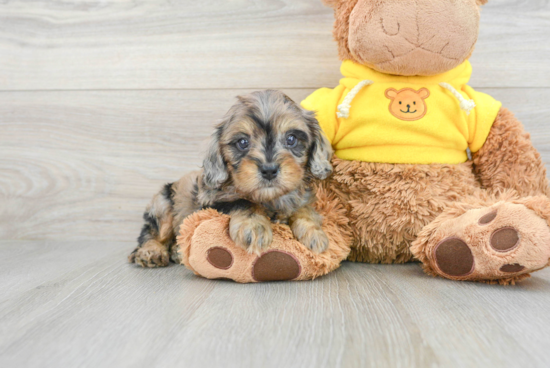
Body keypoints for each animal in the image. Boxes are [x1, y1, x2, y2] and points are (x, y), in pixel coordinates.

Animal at [129, 89, 334, 268]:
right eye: (243, 142)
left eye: (291, 139)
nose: (269, 170)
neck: (270, 199)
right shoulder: (212, 204)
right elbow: (243, 202)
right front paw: (255, 227)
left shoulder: (303, 199)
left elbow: (304, 209)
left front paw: (314, 234)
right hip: (163, 204)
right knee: (151, 233)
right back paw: (151, 252)